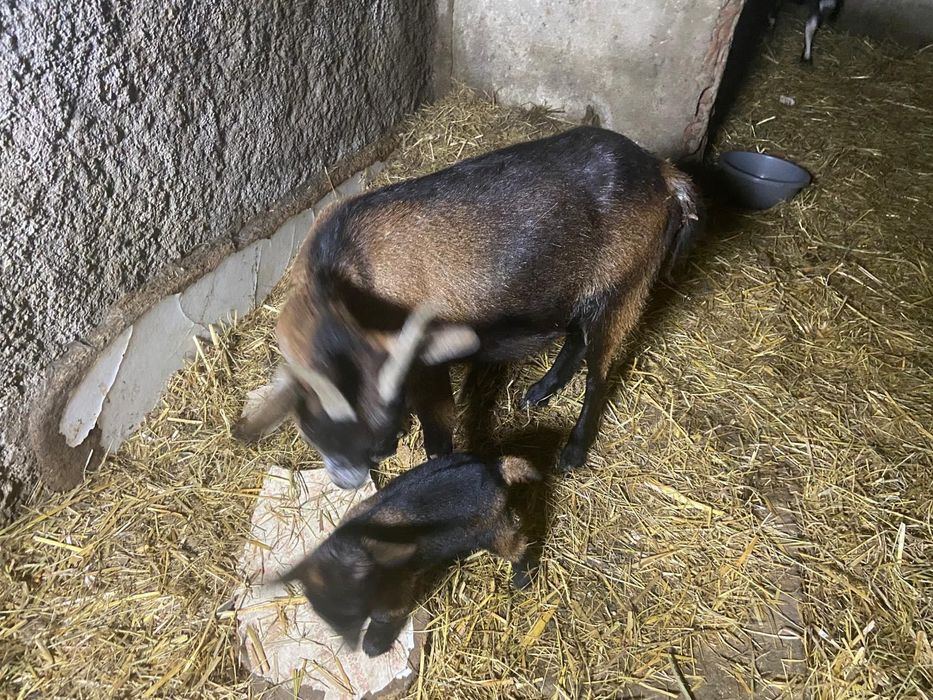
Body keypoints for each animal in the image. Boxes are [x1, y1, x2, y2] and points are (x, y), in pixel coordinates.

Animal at [235, 126, 701, 488]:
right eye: (310, 424)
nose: (351, 476)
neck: (344, 266)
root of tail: (662, 173)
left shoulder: (423, 360)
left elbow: (438, 435)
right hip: (568, 288)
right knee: (576, 338)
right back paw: (540, 391)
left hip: (627, 284)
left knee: (599, 371)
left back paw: (573, 450)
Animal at [282, 453, 540, 657]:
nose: (350, 643)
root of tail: (497, 467)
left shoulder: (396, 586)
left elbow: (388, 614)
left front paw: (372, 646)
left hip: (492, 526)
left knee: (517, 546)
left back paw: (522, 580)